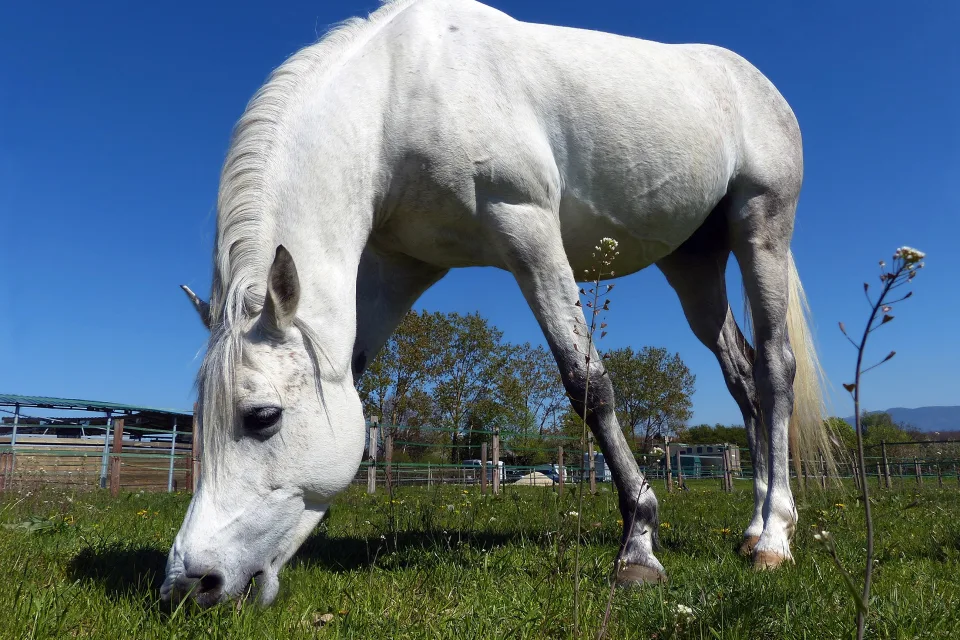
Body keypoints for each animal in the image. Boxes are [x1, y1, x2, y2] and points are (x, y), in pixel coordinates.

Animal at [163, 0, 833, 606]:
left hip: (762, 226)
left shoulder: (527, 229)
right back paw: (752, 526)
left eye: (263, 417)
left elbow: (588, 384)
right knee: (742, 377)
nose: (190, 584)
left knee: (774, 368)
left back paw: (774, 537)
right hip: (693, 265)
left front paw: (639, 546)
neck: (398, 94)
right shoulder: (401, 268)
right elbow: (350, 371)